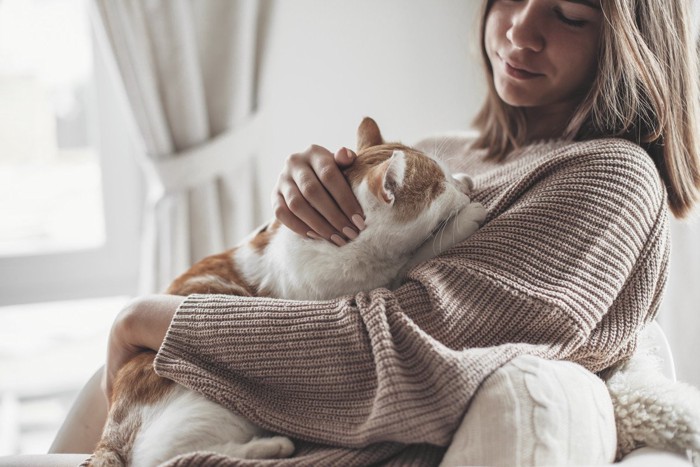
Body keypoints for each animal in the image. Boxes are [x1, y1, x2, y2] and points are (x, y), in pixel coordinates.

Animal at [89, 117, 486, 467]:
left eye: (444, 176)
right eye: (437, 187)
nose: (458, 185)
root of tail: (109, 433)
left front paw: (467, 181)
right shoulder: (360, 291)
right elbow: (419, 253)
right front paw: (466, 215)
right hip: (208, 407)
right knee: (165, 457)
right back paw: (270, 446)